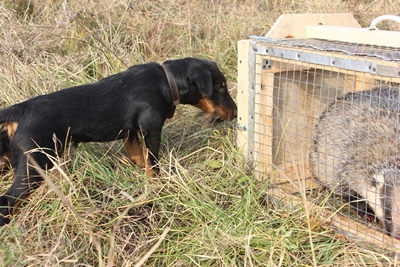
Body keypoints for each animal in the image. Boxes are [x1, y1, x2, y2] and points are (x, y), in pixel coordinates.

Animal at [0, 57, 238, 226]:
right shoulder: (151, 130)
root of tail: (19, 111)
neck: (166, 81)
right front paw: (158, 186)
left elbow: (138, 157)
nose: (235, 113)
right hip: (35, 165)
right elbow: (153, 164)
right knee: (8, 201)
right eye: (219, 86)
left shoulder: (130, 133)